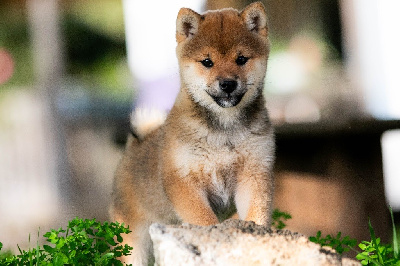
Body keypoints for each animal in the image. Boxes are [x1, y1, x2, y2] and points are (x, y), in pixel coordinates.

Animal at [111, 1, 276, 264]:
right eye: (207, 62)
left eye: (241, 59)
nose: (227, 84)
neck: (224, 132)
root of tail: (133, 146)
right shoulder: (184, 183)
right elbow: (204, 222)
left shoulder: (254, 175)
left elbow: (255, 217)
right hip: (132, 242)